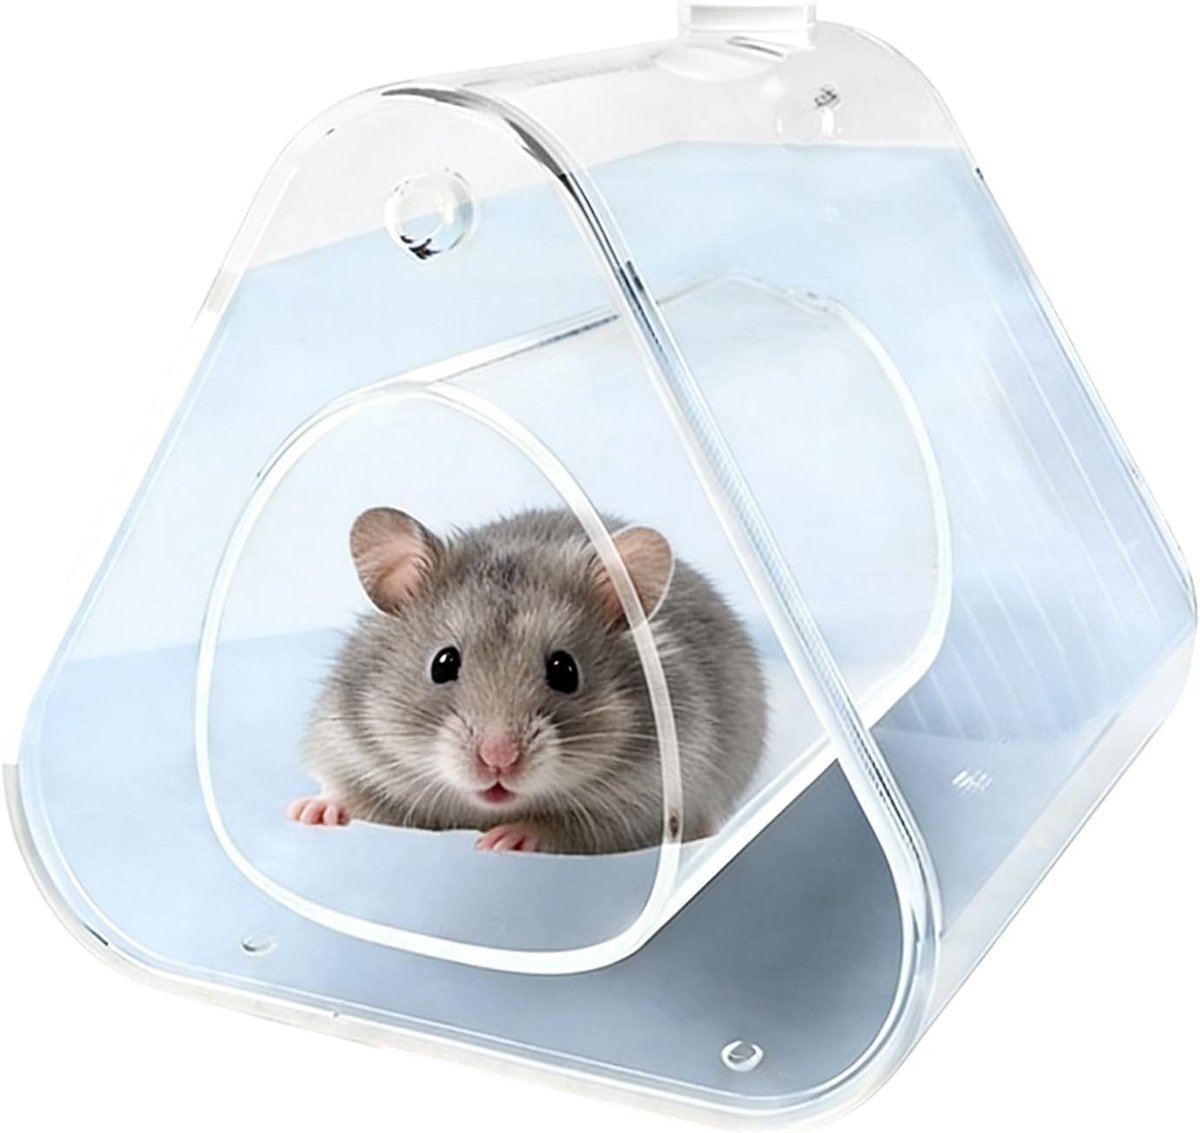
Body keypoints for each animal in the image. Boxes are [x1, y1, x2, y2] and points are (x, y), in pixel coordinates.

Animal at [287, 507, 767, 854]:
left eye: (564, 670)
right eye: (443, 664)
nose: (498, 760)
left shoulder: (643, 806)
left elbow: (565, 827)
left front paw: (503, 841)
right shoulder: (347, 748)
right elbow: (353, 793)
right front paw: (310, 811)